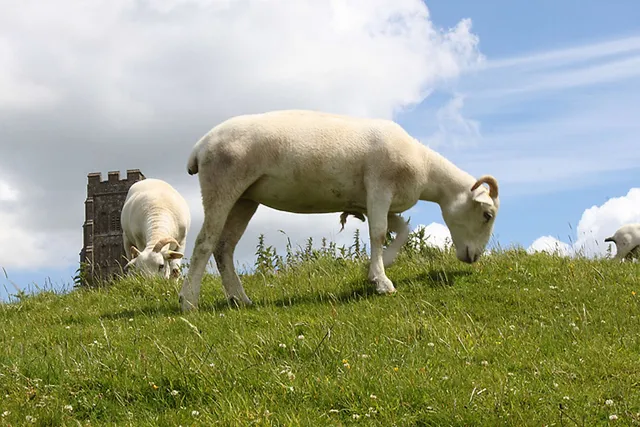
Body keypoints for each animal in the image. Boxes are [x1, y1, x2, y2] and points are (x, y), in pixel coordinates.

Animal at [178, 109, 500, 312]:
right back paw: (189, 301)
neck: (426, 169)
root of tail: (200, 146)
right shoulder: (379, 187)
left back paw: (239, 299)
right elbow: (378, 232)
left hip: (245, 198)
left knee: (224, 248)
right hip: (222, 184)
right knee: (204, 243)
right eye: (487, 216)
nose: (474, 258)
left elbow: (401, 230)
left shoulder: (374, 202)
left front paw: (380, 267)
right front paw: (382, 281)